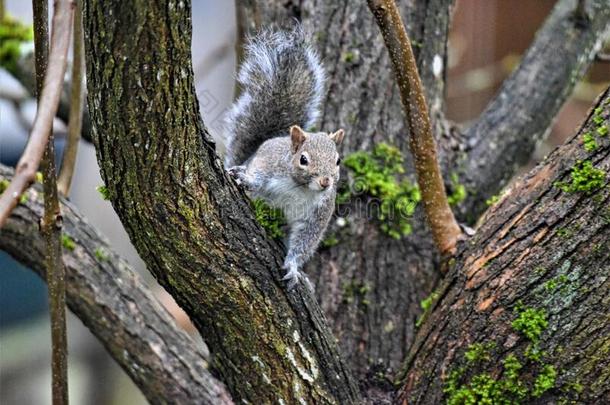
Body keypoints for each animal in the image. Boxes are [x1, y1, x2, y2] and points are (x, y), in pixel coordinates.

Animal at [224, 26, 346, 288]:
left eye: (338, 161)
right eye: (303, 159)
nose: (325, 182)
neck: (301, 188)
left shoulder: (318, 214)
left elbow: (304, 242)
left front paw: (293, 267)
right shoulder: (269, 161)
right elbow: (258, 175)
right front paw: (247, 179)